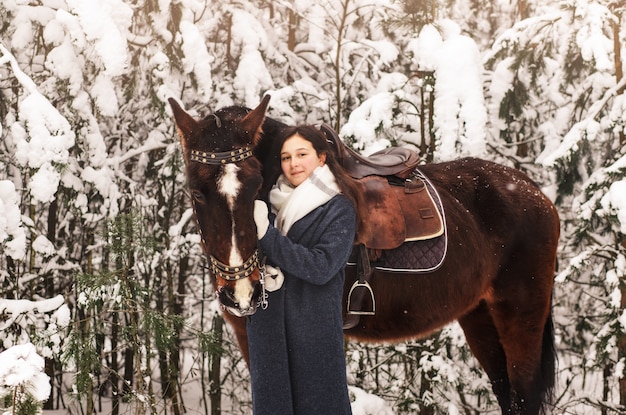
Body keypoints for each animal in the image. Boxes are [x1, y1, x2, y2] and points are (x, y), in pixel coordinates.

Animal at [166, 95, 556, 415]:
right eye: (197, 192)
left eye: (254, 184)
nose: (243, 293)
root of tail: (534, 191)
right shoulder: (248, 335)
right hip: (478, 315)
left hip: (521, 315)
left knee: (522, 395)